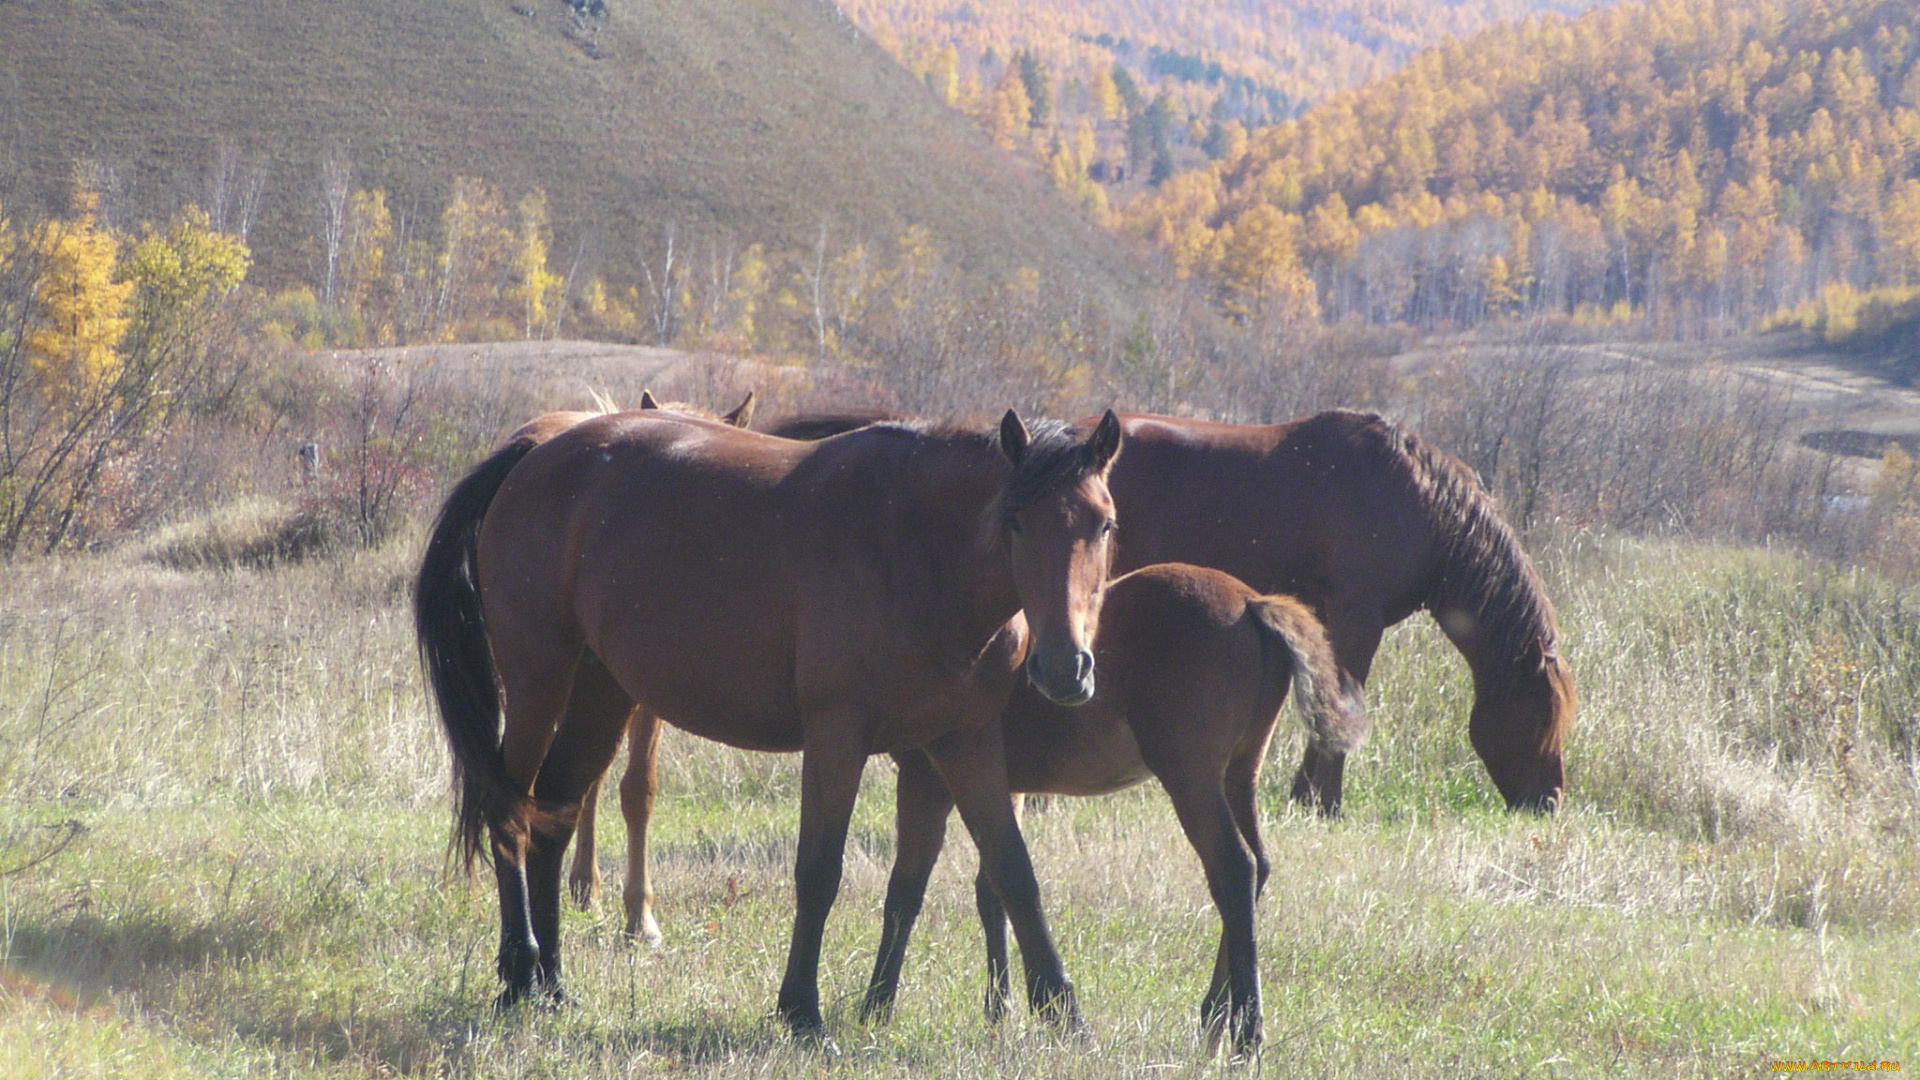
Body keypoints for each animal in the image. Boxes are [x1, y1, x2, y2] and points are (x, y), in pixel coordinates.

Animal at [412, 405, 1121, 1037]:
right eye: (1016, 521)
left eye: (1105, 525)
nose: (1067, 668)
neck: (914, 549)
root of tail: (534, 454)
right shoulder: (837, 738)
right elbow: (819, 872)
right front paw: (801, 1012)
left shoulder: (962, 742)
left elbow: (1013, 870)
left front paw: (1065, 1014)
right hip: (539, 681)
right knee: (510, 814)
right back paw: (519, 976)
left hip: (600, 692)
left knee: (553, 818)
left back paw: (555, 987)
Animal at [860, 564, 1367, 1053]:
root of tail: (1252, 603)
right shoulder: (1003, 786)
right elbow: (993, 892)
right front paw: (999, 1013)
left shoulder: (927, 779)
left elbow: (906, 893)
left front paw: (876, 1010)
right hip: (1240, 773)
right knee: (1258, 866)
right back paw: (1214, 1020)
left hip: (1190, 776)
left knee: (1233, 867)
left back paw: (1245, 1031)